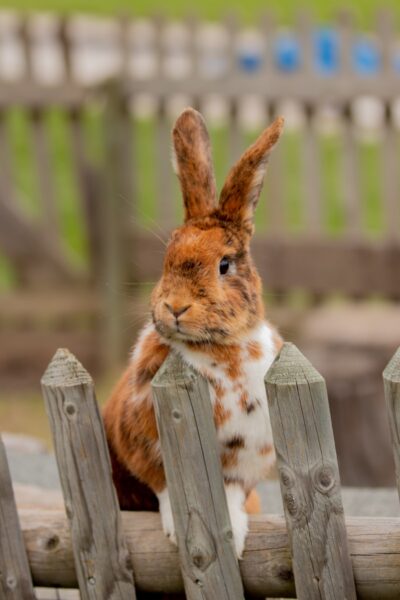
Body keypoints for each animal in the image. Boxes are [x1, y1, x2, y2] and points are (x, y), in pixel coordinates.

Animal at [103, 106, 284, 556]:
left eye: (224, 265)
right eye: (167, 256)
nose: (175, 307)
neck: (217, 351)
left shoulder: (245, 456)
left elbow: (233, 491)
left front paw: (234, 534)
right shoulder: (144, 446)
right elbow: (167, 488)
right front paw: (175, 531)